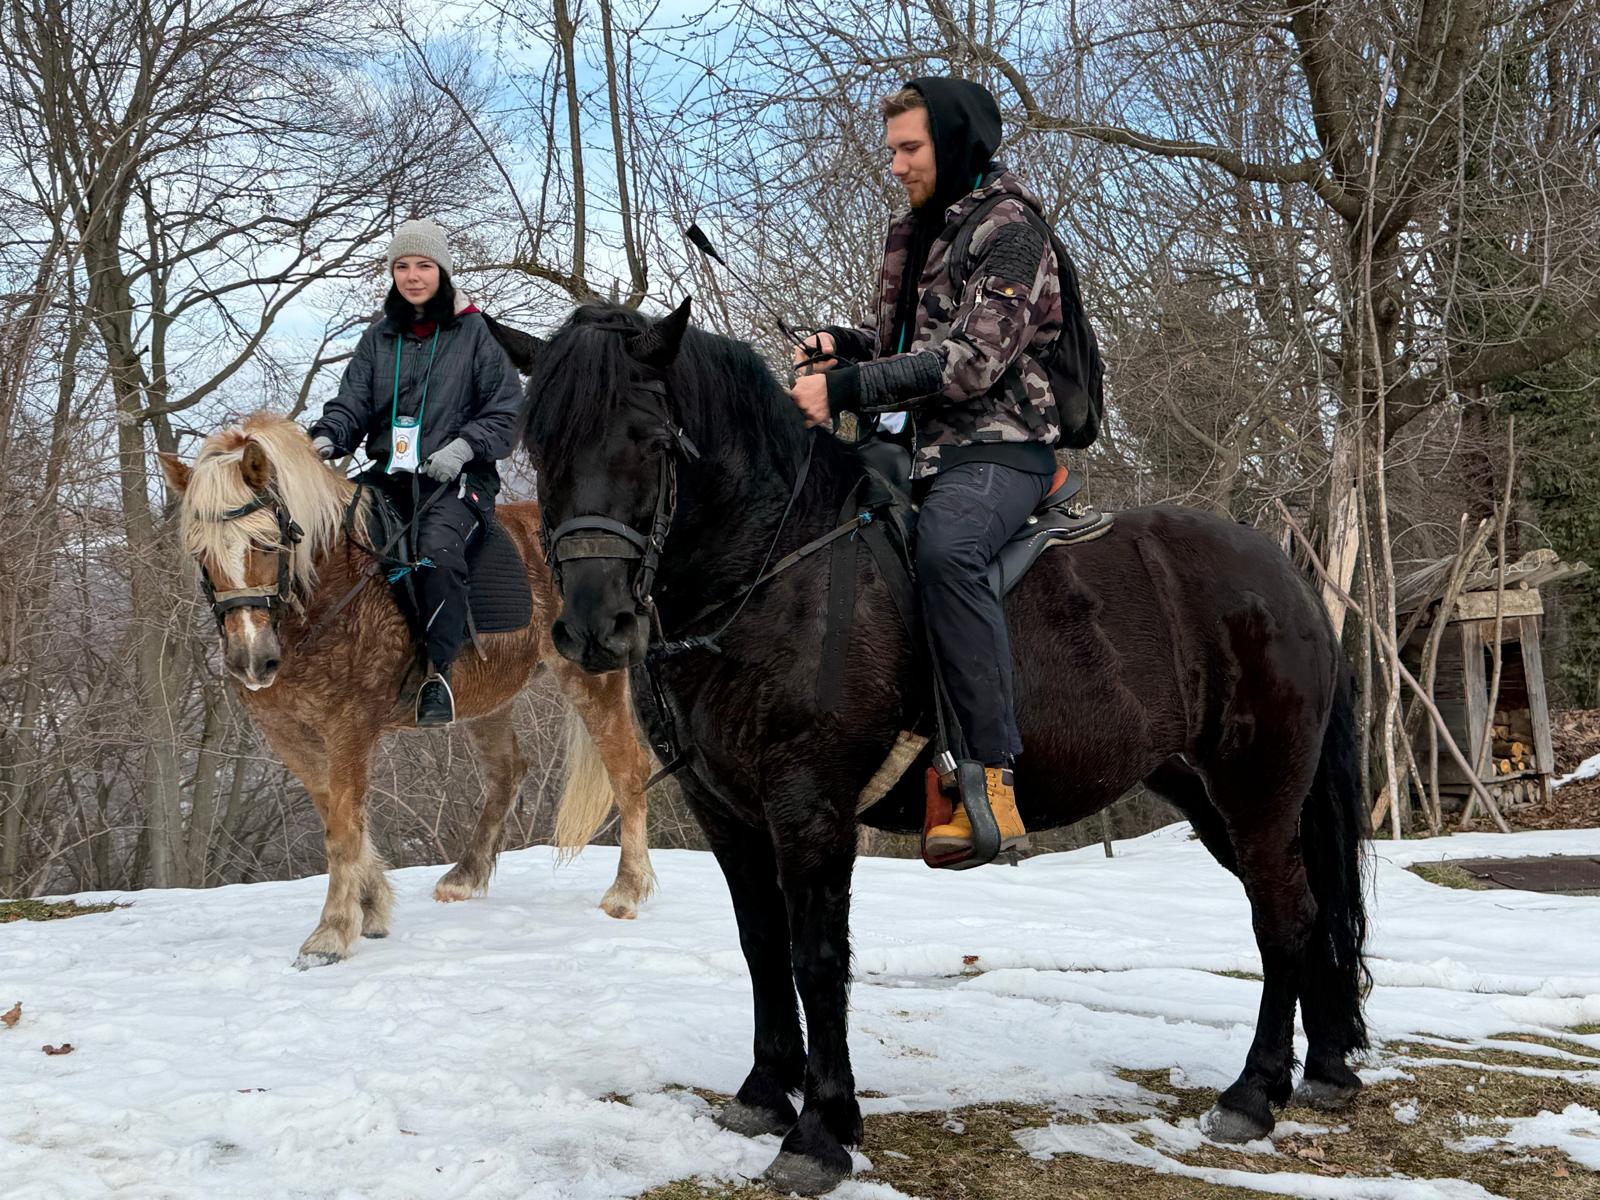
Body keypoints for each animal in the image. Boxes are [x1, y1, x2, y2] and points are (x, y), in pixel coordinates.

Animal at [160, 411, 655, 969]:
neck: (330, 591)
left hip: (592, 678)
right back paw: (463, 878)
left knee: (628, 770)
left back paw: (626, 891)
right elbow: (334, 811)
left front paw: (331, 934)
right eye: (200, 553)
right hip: (486, 700)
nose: (251, 661)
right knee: (508, 771)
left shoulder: (349, 729)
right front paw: (371, 906)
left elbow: (343, 827)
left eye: (266, 544)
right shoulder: (287, 733)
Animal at [522, 300, 1370, 1194]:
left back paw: (1254, 1092)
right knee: (1305, 912)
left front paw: (821, 1131)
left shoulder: (809, 807)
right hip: (1210, 798)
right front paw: (763, 1093)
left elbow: (815, 957)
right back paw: (1322, 1072)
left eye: (651, 439)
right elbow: (760, 948)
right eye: (539, 447)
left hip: (1258, 791)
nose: (593, 624)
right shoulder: (727, 812)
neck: (775, 565)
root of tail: (1285, 576)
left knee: (1283, 916)